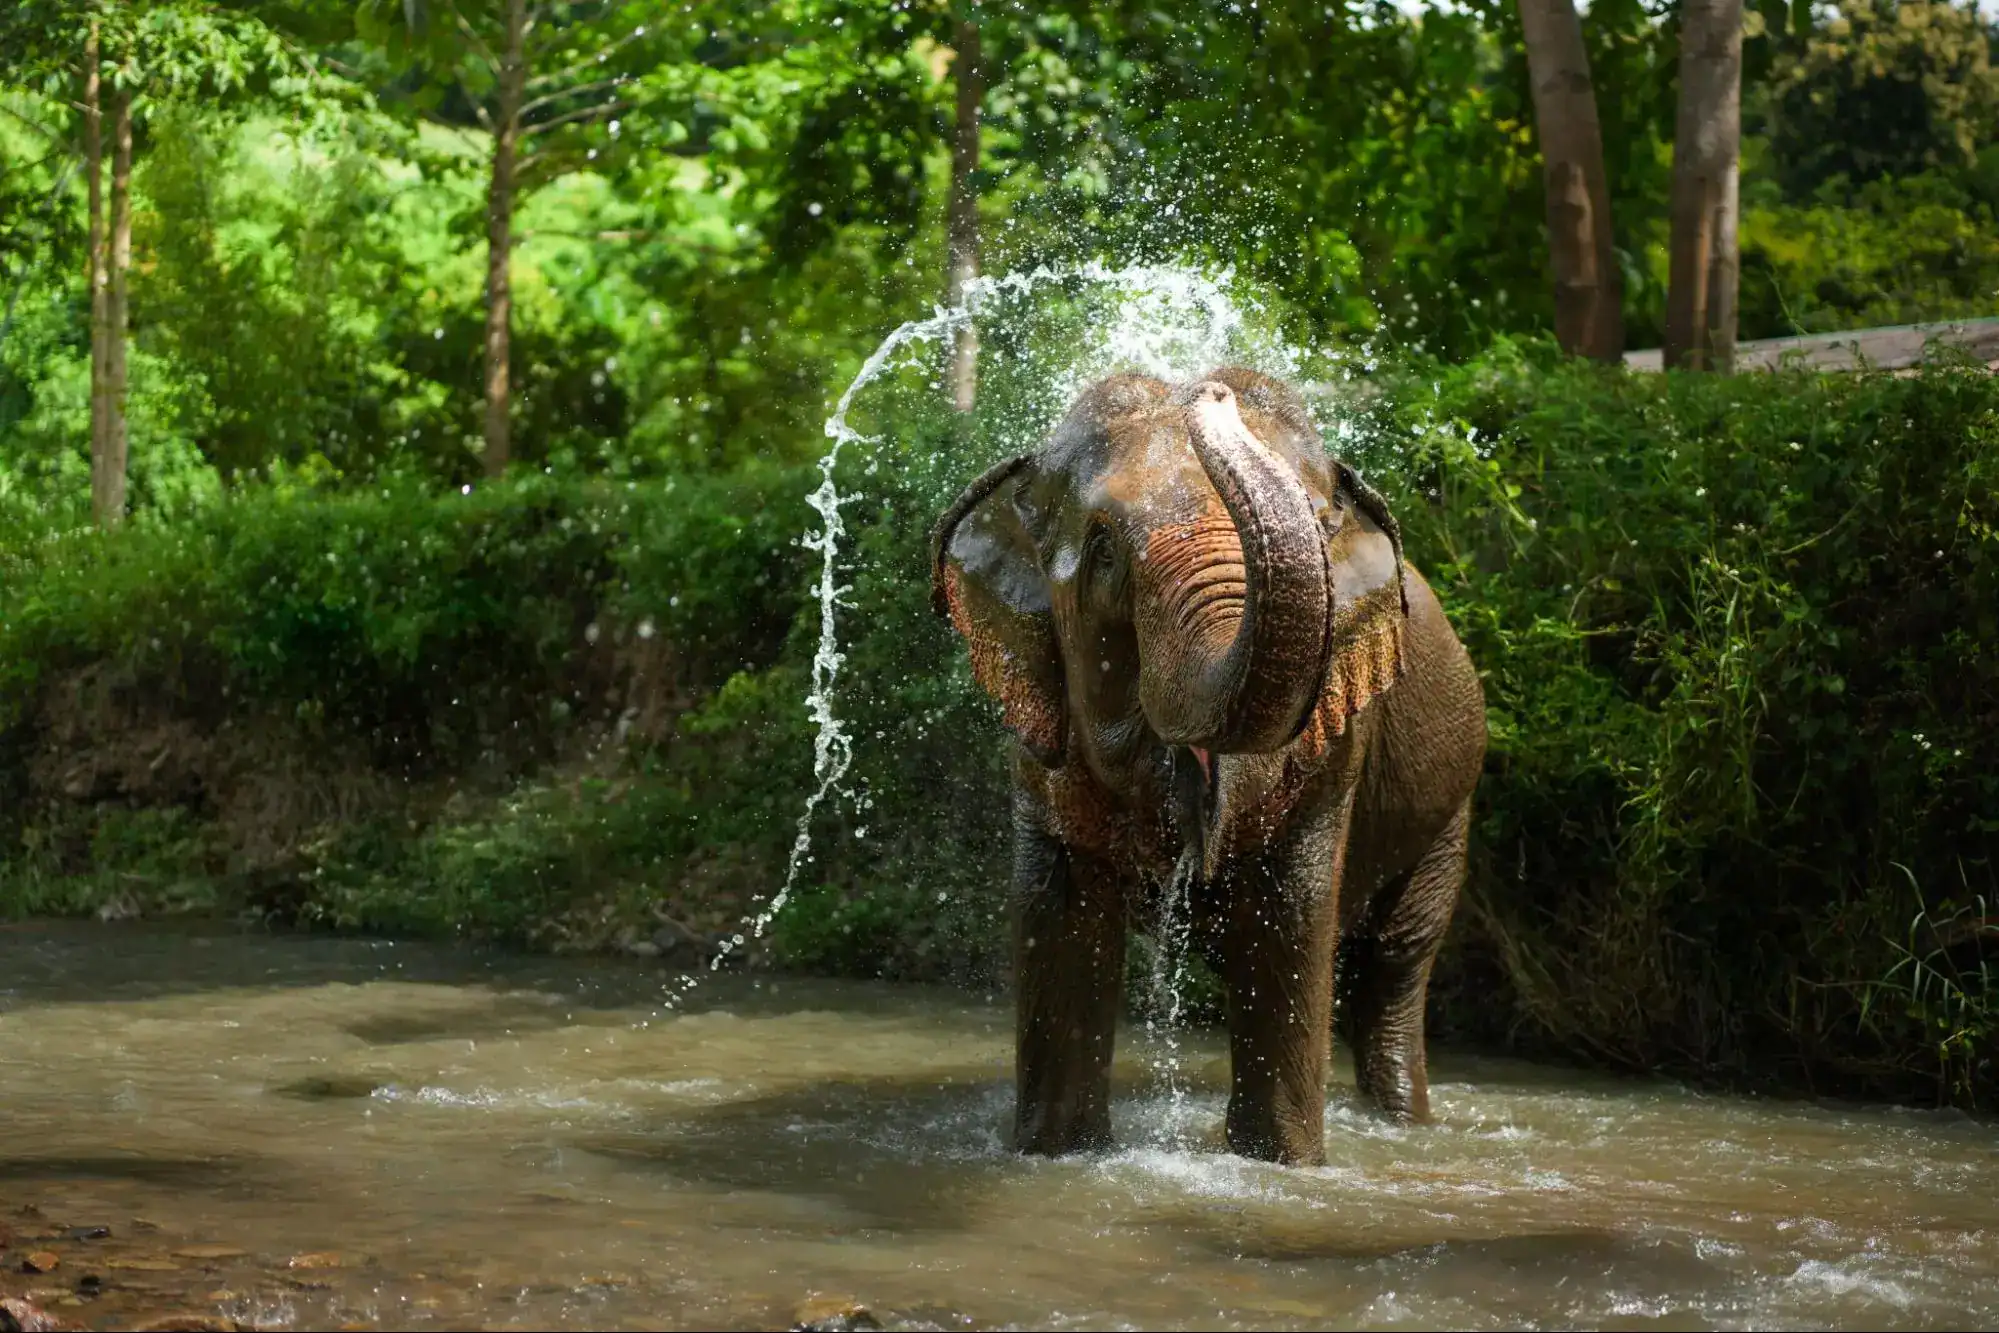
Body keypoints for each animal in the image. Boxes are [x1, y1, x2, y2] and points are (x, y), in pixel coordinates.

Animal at [929, 366, 1486, 1167]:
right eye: (1103, 551)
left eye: (1319, 528)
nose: (1210, 392)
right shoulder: (1039, 736)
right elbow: (1061, 920)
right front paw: (1056, 1154)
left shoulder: (1338, 739)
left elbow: (1290, 919)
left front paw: (1283, 1166)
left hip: (1448, 811)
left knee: (1390, 964)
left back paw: (1401, 1121)